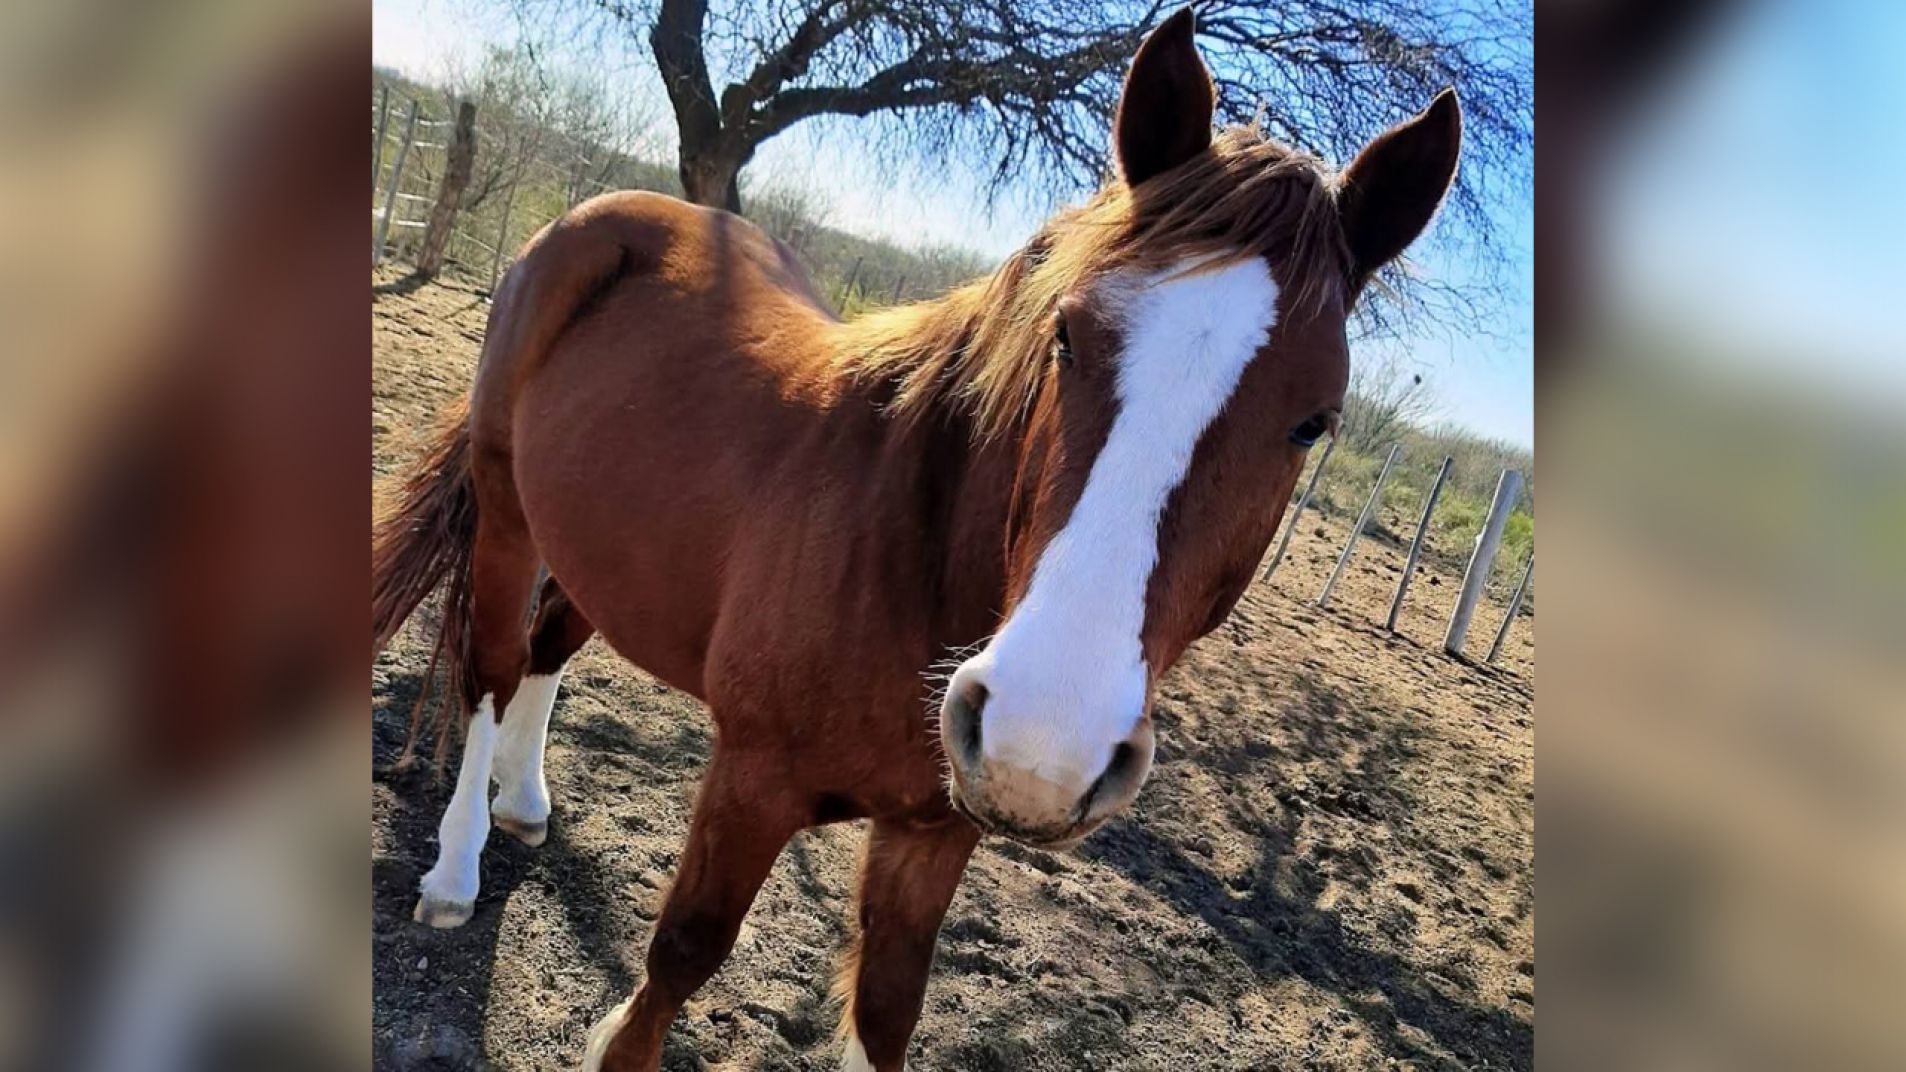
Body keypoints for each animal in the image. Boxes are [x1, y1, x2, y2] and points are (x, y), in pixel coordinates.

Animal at [371, 10, 1460, 1070]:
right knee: (492, 667)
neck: (910, 553)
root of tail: (603, 217)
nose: (1041, 742)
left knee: (550, 647)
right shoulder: (751, 781)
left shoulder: (936, 830)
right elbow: (682, 956)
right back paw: (457, 868)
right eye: (1067, 337)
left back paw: (524, 800)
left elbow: (887, 1008)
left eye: (1313, 422)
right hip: (507, 512)